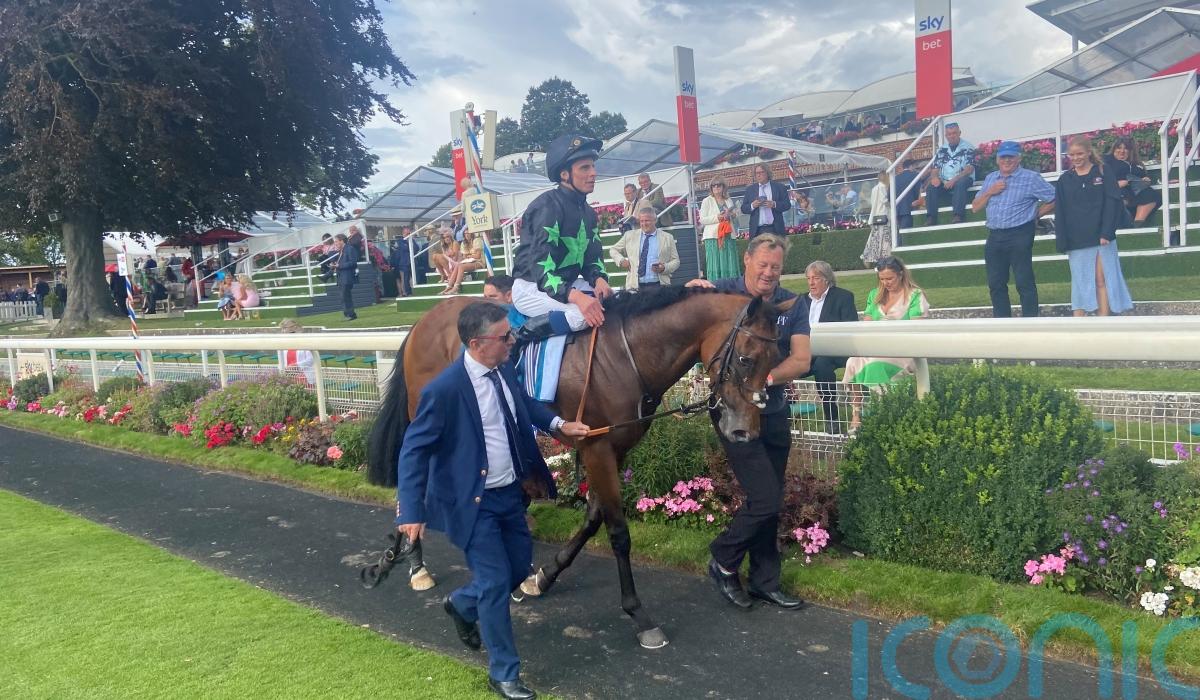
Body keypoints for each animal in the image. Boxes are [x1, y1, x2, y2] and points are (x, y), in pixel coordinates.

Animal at [366, 285, 793, 649]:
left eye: (776, 359)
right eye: (745, 359)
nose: (744, 431)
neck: (626, 356)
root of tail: (424, 320)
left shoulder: (614, 448)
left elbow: (592, 519)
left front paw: (542, 577)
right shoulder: (596, 448)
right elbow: (618, 532)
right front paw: (639, 615)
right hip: (427, 412)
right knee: (414, 471)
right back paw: (413, 562)